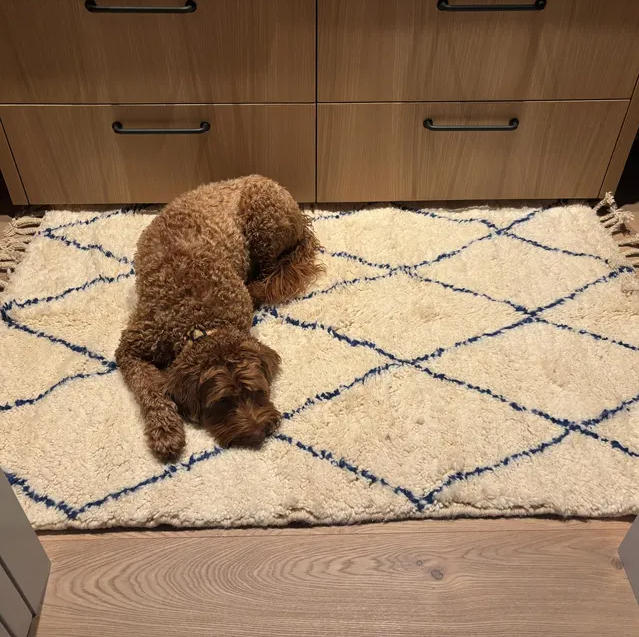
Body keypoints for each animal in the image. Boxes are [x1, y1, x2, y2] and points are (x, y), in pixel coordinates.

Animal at [115, 176, 322, 460]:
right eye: (222, 402)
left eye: (257, 391)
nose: (258, 434)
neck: (198, 324)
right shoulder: (130, 348)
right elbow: (150, 389)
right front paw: (165, 432)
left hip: (264, 226)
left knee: (270, 268)